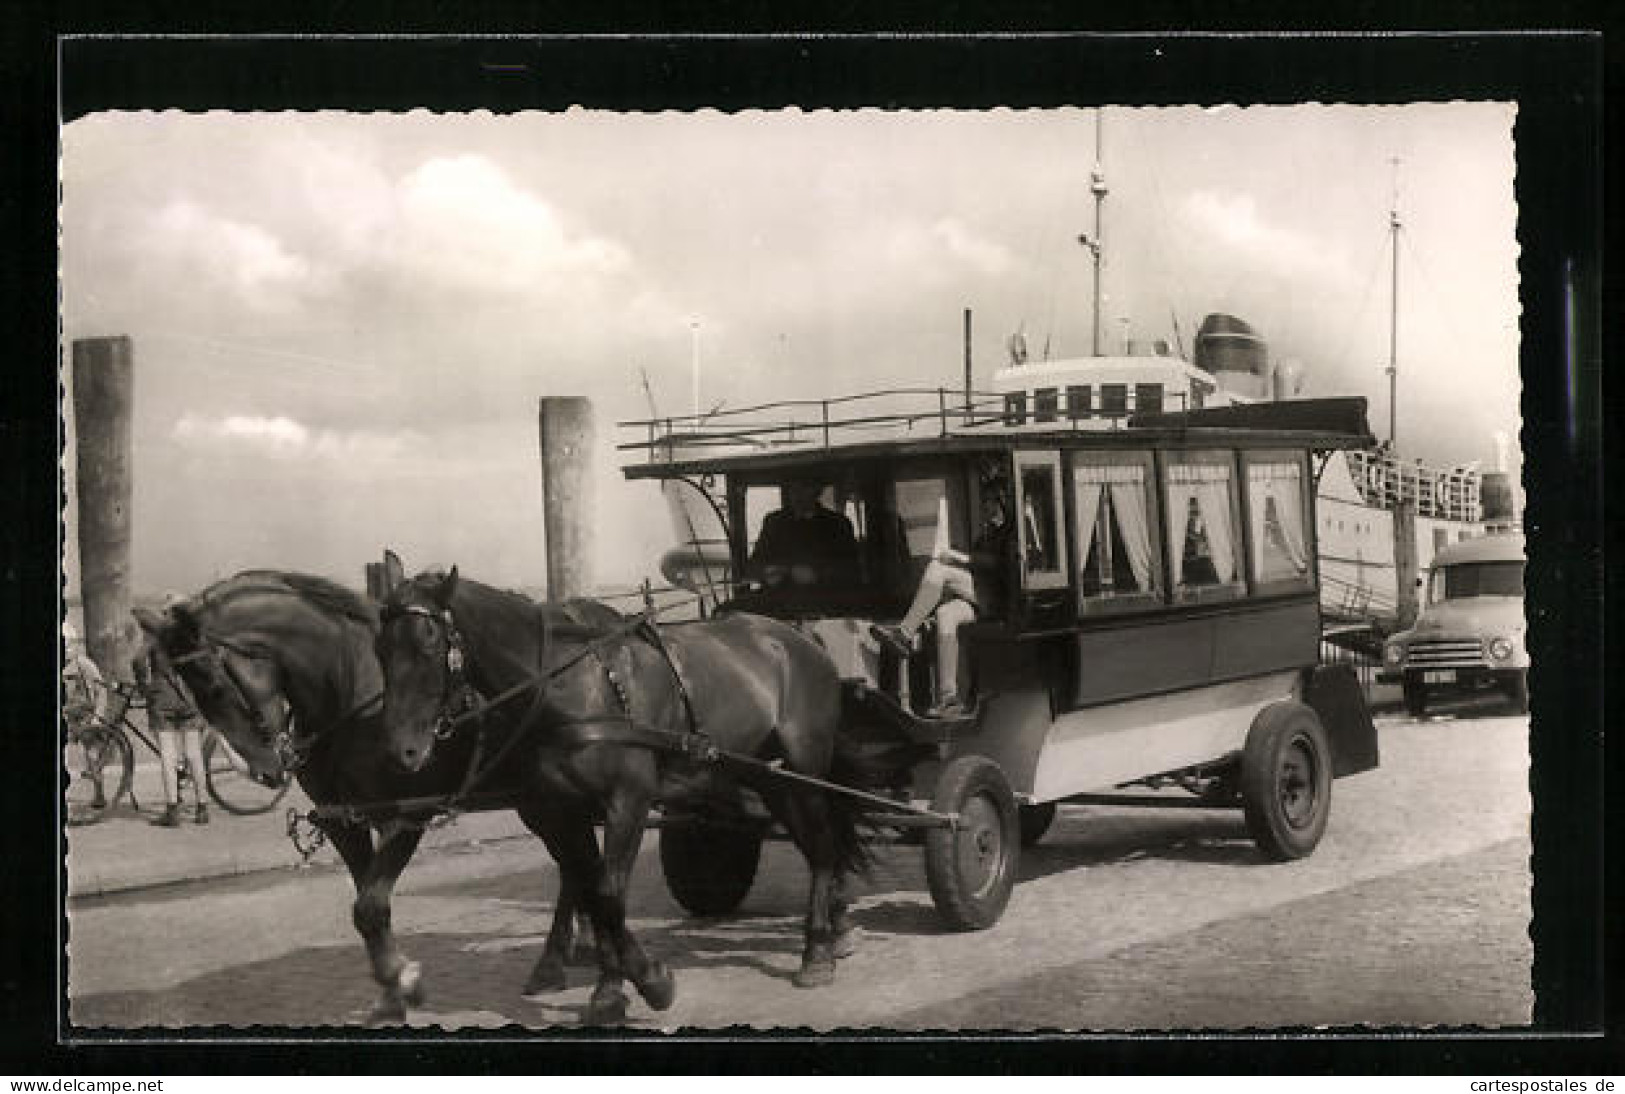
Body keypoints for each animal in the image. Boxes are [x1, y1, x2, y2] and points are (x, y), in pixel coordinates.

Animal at [149, 568, 594, 1020]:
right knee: (572, 866)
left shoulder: (404, 816)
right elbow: (368, 906)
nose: (265, 769)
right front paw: (392, 986)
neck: (353, 693)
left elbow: (370, 906)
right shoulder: (345, 819)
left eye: (213, 684)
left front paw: (404, 981)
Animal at [375, 555, 877, 1027]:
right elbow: (589, 889)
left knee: (823, 847)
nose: (403, 750)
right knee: (817, 844)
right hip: (767, 776)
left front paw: (643, 985)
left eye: (430, 641)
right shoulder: (563, 810)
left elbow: (608, 892)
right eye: (380, 648)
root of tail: (801, 641)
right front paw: (614, 987)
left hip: (803, 768)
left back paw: (818, 950)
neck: (570, 687)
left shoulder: (628, 800)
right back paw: (830, 932)